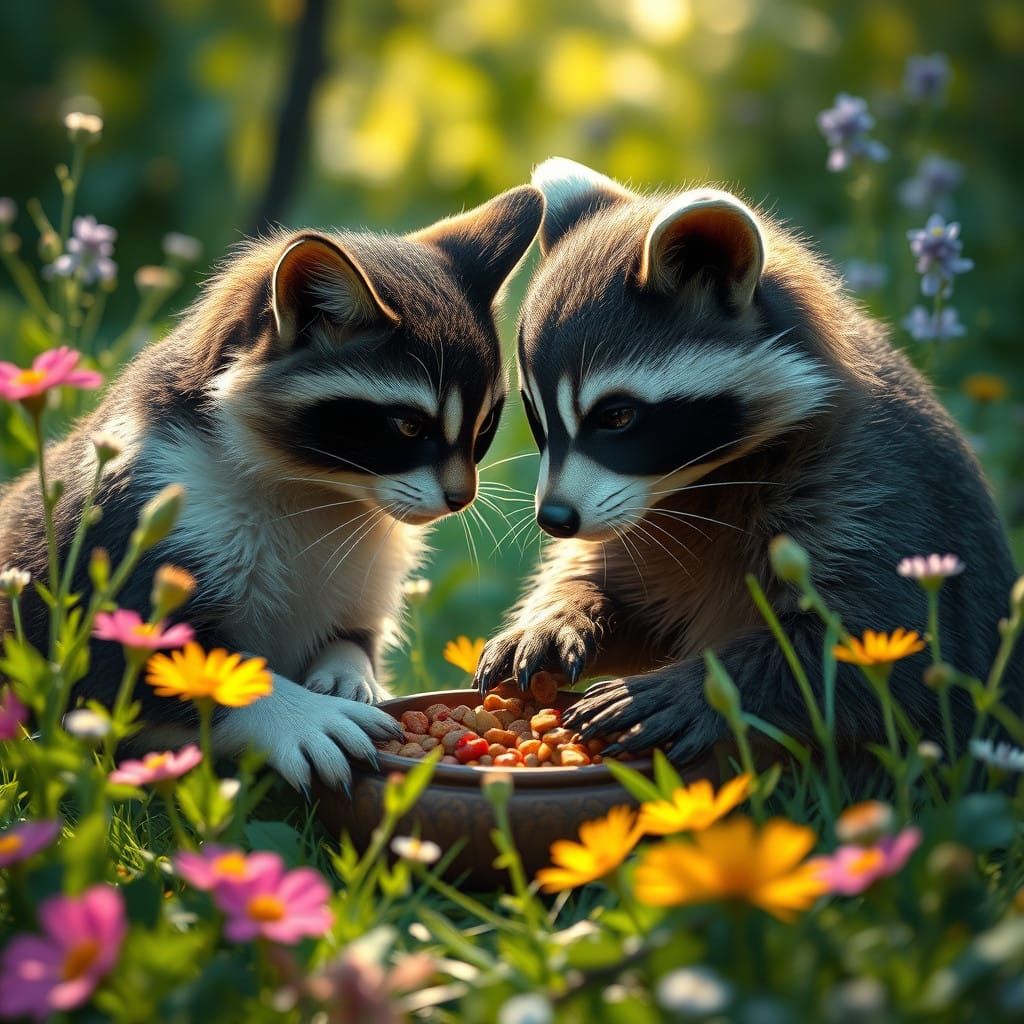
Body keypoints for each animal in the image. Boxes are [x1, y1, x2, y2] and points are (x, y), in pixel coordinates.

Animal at [0, 185, 544, 790]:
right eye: (407, 427)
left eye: (486, 425)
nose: (460, 498)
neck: (324, 488)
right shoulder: (141, 515)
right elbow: (127, 663)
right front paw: (293, 712)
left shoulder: (368, 558)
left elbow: (356, 632)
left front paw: (348, 668)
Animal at [475, 158, 1020, 776]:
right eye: (536, 418)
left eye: (616, 416)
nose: (555, 520)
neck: (702, 480)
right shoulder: (645, 519)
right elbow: (626, 596)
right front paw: (562, 611)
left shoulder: (871, 491)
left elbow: (884, 650)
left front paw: (703, 686)